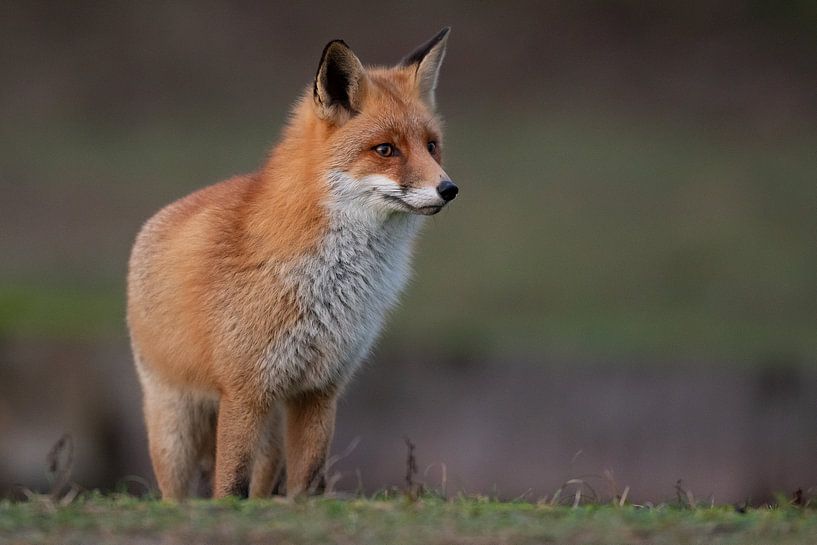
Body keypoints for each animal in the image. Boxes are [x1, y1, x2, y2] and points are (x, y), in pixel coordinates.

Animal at [126, 28, 457, 500]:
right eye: (385, 150)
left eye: (432, 146)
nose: (448, 189)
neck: (332, 282)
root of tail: (156, 219)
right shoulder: (244, 390)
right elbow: (229, 485)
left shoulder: (320, 388)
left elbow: (306, 483)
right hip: (175, 424)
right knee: (177, 491)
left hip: (270, 424)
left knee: (265, 480)